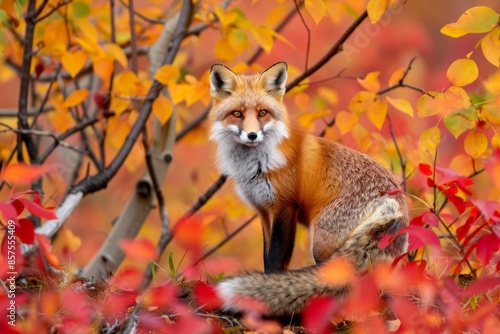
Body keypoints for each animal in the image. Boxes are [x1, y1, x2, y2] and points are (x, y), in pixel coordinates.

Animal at [207, 62, 406, 316]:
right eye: (237, 114)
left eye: (263, 113)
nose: (252, 135)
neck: (255, 165)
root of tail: (395, 199)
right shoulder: (263, 211)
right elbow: (268, 256)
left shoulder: (285, 206)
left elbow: (275, 261)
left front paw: (267, 294)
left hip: (322, 244)